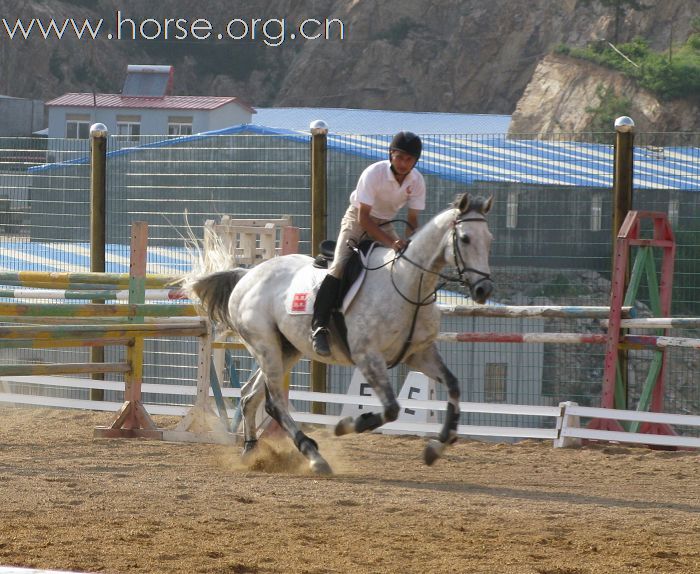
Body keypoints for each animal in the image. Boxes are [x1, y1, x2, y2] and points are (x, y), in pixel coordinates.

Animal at [185, 195, 492, 476]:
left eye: (488, 238)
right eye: (465, 239)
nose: (483, 290)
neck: (407, 282)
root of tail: (246, 275)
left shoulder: (419, 354)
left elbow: (453, 386)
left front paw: (436, 447)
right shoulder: (368, 356)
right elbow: (392, 409)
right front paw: (346, 426)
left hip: (287, 349)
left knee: (251, 396)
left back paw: (252, 452)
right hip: (266, 346)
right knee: (274, 403)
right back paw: (313, 456)